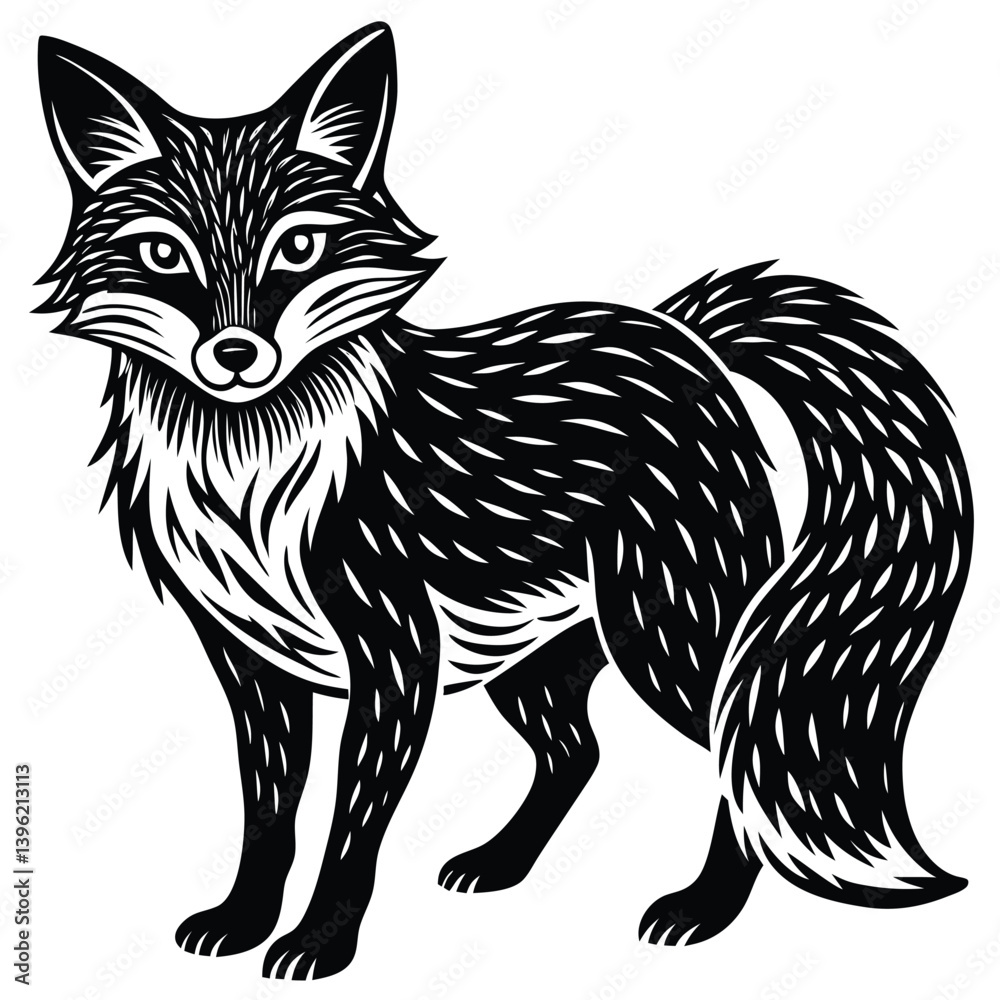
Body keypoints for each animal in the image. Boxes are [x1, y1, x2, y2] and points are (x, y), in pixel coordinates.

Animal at [37, 22, 973, 981]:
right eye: (163, 255)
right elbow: (269, 818)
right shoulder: (250, 663)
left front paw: (319, 944)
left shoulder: (394, 655)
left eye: (298, 249)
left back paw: (705, 908)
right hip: (529, 662)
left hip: (665, 638)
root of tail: (683, 330)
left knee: (735, 752)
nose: (235, 354)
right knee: (576, 752)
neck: (251, 479)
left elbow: (349, 830)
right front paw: (242, 919)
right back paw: (502, 863)